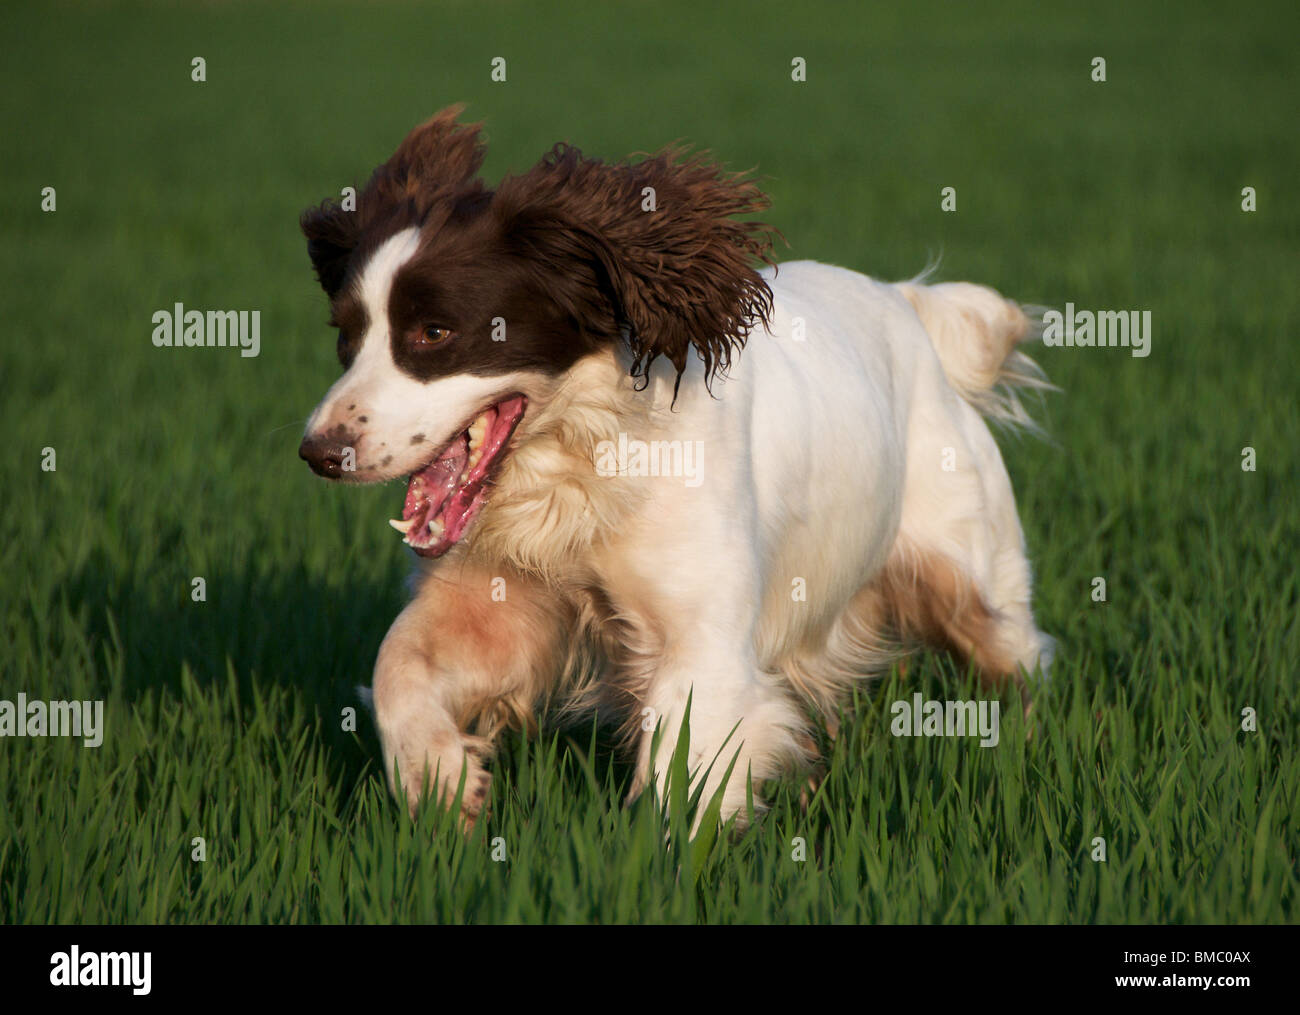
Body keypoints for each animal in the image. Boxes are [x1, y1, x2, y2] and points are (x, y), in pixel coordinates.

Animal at [297, 107, 1055, 826]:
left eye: (435, 332)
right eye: (346, 336)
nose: (319, 451)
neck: (585, 464)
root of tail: (908, 302)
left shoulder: (699, 639)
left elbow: (678, 785)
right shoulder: (498, 599)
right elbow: (397, 664)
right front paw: (443, 785)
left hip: (971, 578)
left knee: (1019, 662)